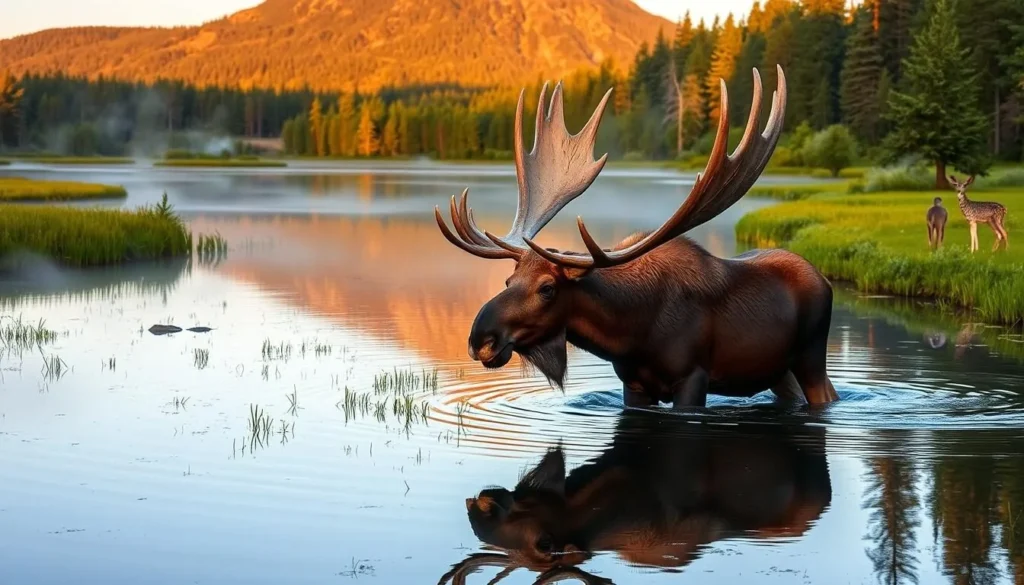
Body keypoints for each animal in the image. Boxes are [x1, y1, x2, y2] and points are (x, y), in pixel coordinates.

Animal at [434, 65, 840, 409]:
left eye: (547, 288)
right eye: (508, 280)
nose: (480, 339)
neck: (630, 333)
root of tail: (824, 279)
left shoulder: (693, 378)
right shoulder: (632, 384)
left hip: (810, 357)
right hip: (777, 372)